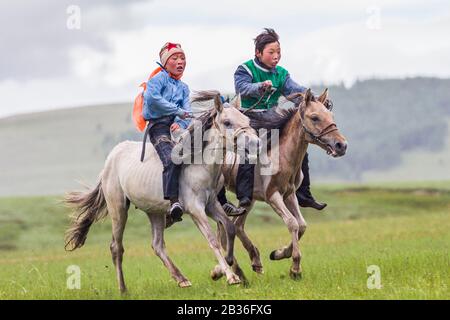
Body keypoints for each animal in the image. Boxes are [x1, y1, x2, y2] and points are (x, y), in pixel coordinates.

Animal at [64, 91, 258, 294]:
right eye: (227, 122)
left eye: (246, 119)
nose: (256, 143)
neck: (199, 166)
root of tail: (110, 159)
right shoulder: (196, 210)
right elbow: (212, 239)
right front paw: (230, 276)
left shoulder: (212, 205)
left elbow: (229, 229)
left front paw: (218, 270)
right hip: (118, 209)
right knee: (116, 247)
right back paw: (123, 289)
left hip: (154, 212)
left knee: (157, 245)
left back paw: (181, 279)